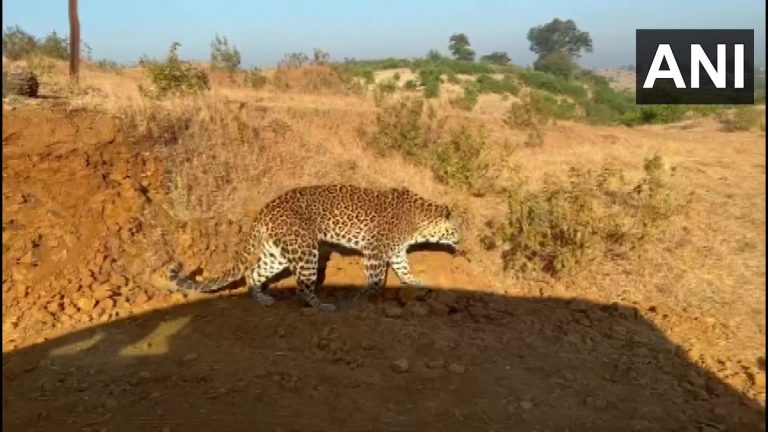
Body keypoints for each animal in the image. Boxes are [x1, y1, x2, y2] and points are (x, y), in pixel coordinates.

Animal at [170, 184, 462, 312]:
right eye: (455, 229)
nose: (460, 241)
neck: (418, 221)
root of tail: (265, 210)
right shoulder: (375, 252)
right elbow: (375, 279)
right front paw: (364, 298)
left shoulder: (397, 251)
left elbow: (404, 268)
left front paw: (416, 281)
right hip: (306, 249)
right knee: (302, 287)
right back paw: (322, 306)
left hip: (278, 253)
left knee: (254, 272)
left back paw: (262, 299)